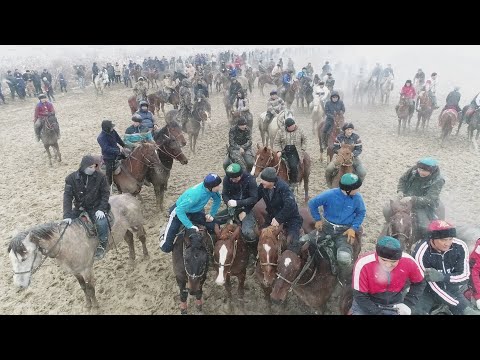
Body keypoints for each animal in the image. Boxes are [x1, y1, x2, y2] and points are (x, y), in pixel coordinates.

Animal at [7, 194, 148, 310]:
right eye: (11, 260)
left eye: (24, 258)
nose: (19, 285)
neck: (66, 244)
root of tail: (129, 196)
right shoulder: (75, 272)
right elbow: (83, 287)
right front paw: (88, 304)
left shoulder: (87, 270)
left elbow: (90, 288)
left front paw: (95, 307)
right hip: (124, 230)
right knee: (129, 239)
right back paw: (131, 260)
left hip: (137, 224)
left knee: (142, 238)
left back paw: (146, 255)